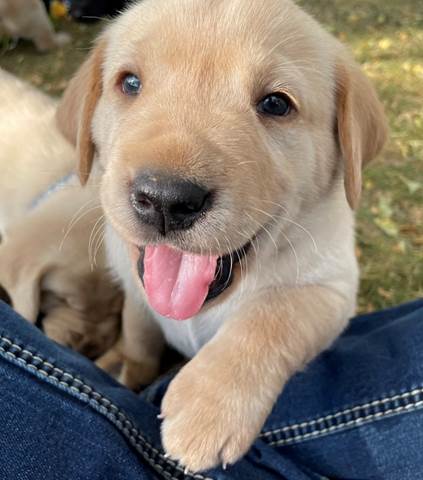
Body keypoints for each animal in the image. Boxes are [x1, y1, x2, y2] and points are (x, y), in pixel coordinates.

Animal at [58, 0, 390, 472]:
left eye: (276, 103)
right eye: (130, 83)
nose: (165, 199)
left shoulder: (331, 287)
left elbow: (272, 317)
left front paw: (207, 409)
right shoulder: (138, 294)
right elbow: (138, 338)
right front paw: (128, 369)